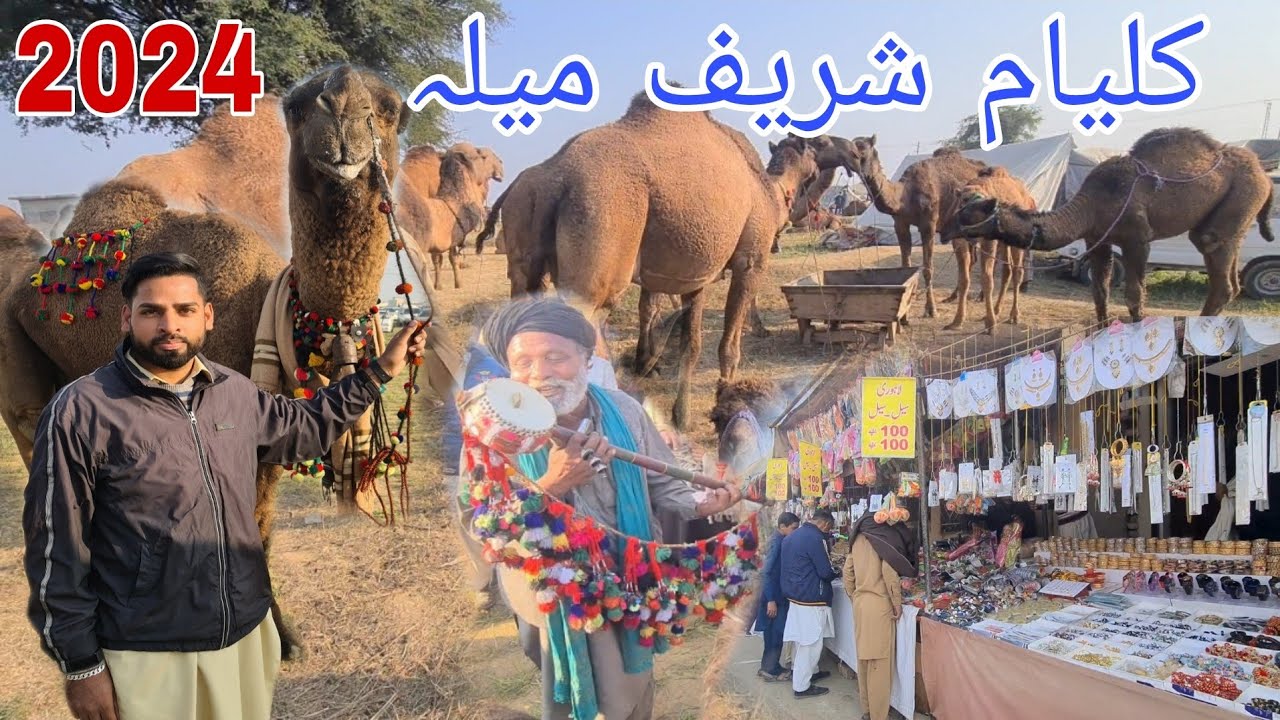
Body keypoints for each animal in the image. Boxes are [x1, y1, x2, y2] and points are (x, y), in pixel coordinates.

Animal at [396, 144, 503, 289]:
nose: (500, 163)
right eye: (482, 155)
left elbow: (448, 256)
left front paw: (447, 284)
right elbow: (441, 257)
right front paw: (442, 285)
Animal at [478, 92, 816, 428]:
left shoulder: (695, 274)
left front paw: (679, 412)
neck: (771, 192)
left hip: (524, 250)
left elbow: (688, 342)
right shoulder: (752, 259)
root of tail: (553, 177)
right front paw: (725, 402)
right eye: (814, 150)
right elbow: (728, 345)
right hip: (598, 244)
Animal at [938, 167, 1036, 333]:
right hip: (1004, 241)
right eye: (963, 200)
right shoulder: (960, 242)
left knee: (1017, 271)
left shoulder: (988, 242)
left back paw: (1014, 315)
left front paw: (991, 325)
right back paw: (996, 310)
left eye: (983, 203)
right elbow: (964, 279)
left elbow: (987, 279)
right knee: (1007, 270)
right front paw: (957, 321)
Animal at [950, 127, 1275, 322]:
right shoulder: (1098, 240)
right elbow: (1100, 292)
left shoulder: (1137, 240)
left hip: (1244, 193)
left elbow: (1134, 295)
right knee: (1227, 268)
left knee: (1215, 254)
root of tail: (1265, 174)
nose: (947, 231)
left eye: (968, 213)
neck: (1092, 204)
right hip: (1234, 215)